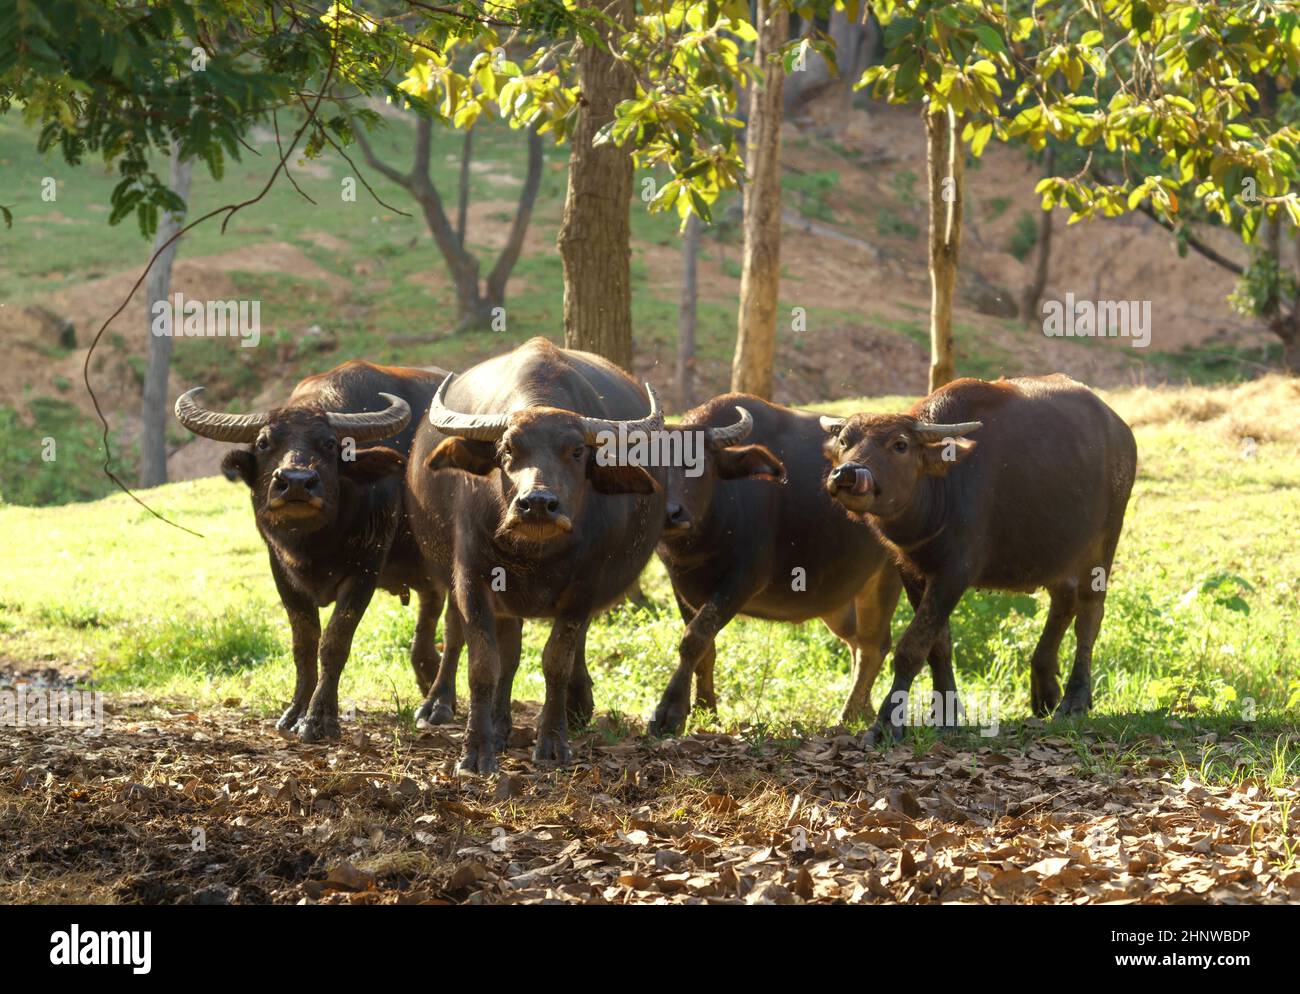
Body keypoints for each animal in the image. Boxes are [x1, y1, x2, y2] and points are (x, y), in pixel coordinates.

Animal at [175, 360, 450, 742]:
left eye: (330, 444)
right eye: (263, 443)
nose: (295, 483)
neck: (314, 543)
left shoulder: (366, 567)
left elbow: (334, 642)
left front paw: (320, 718)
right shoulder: (281, 570)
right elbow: (303, 643)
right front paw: (294, 712)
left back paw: (440, 704)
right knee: (430, 612)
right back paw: (427, 678)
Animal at [405, 338, 667, 774]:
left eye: (576, 451)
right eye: (507, 448)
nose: (539, 504)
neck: (534, 554)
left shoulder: (584, 587)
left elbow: (555, 660)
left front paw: (553, 741)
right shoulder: (472, 578)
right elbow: (484, 662)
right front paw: (477, 750)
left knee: (552, 650)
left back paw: (571, 706)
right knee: (466, 638)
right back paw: (444, 706)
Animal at [821, 374, 1137, 742]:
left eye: (900, 444)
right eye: (845, 441)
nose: (846, 474)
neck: (941, 490)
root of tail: (1120, 431)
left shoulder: (955, 572)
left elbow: (911, 647)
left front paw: (888, 722)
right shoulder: (912, 572)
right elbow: (938, 644)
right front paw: (946, 713)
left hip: (1104, 541)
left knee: (1089, 614)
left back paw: (1074, 699)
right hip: (1057, 551)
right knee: (1064, 600)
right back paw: (1044, 688)